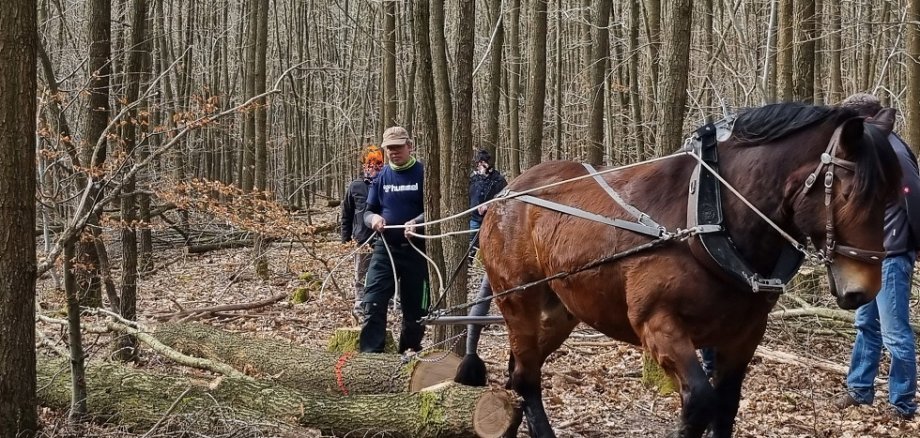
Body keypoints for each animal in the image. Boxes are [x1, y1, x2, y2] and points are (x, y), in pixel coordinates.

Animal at [474, 103, 900, 438]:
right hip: (518, 300)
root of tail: (505, 194)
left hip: (562, 311)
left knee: (520, 368)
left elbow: (726, 407)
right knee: (526, 374)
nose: (864, 289)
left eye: (891, 195)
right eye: (850, 193)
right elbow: (699, 402)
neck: (713, 217)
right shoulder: (658, 324)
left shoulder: (745, 334)